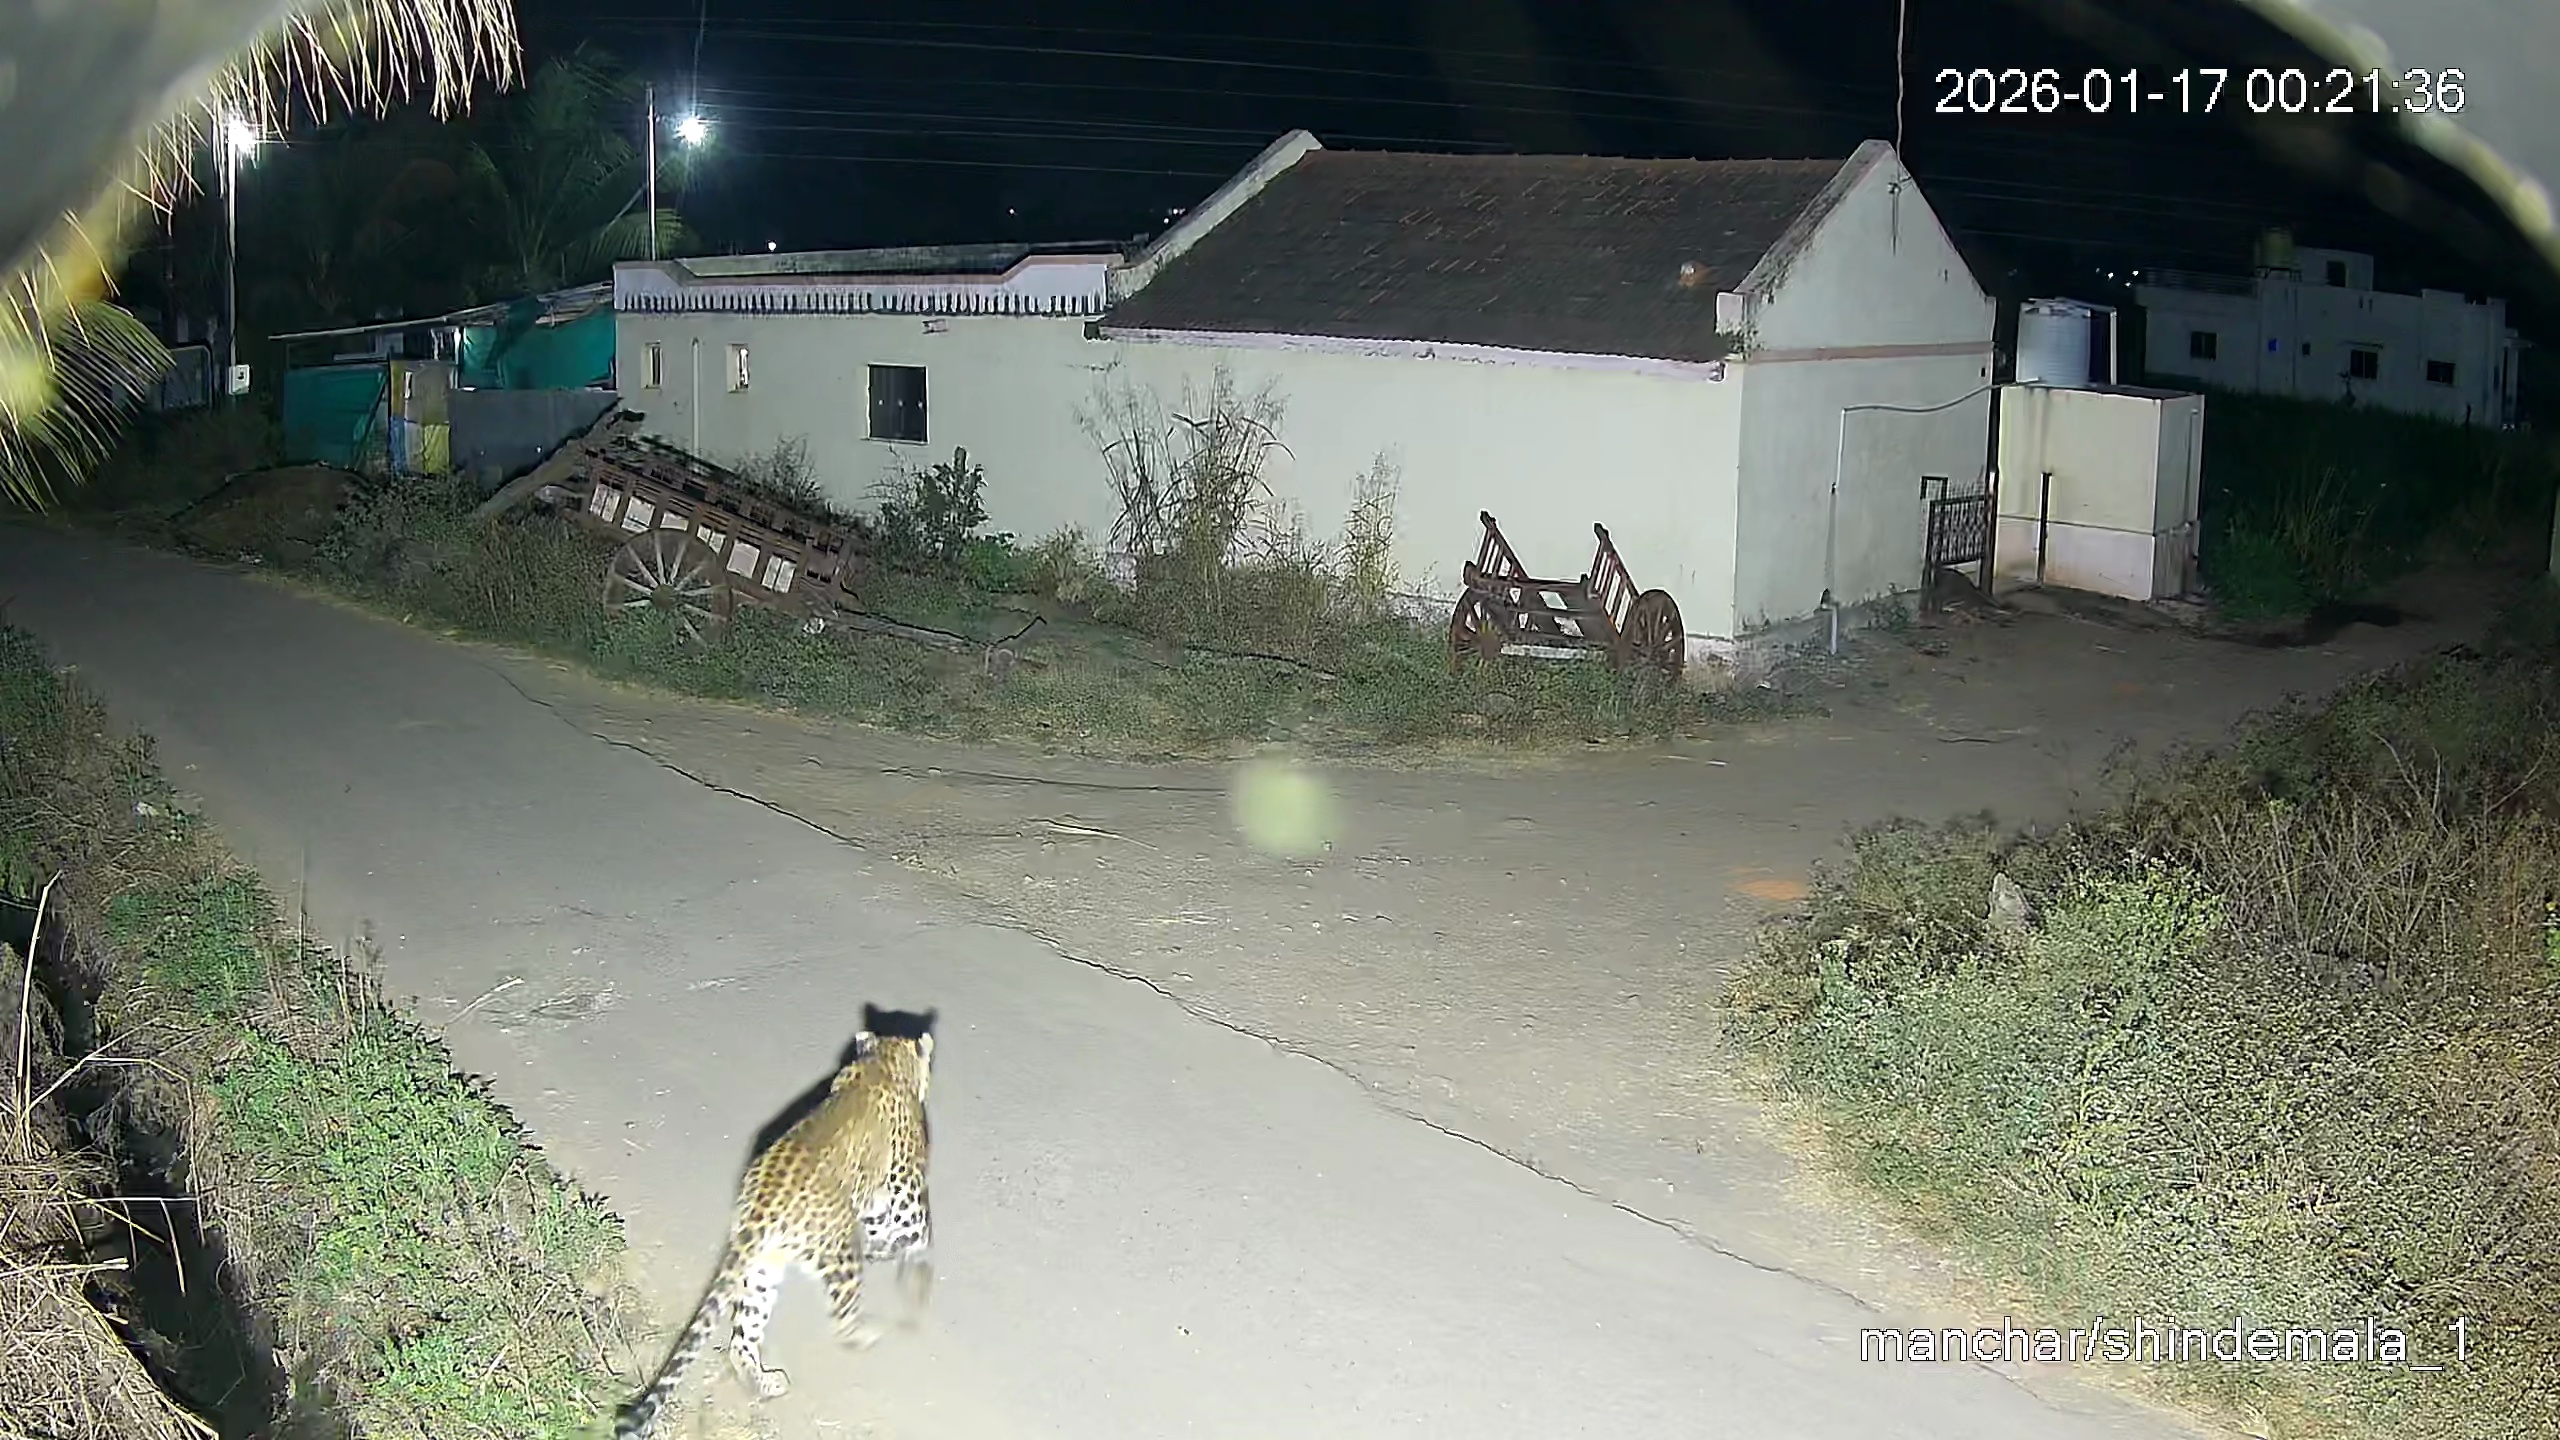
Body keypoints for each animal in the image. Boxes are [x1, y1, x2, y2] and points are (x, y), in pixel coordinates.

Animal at [615, 1009, 936, 1440]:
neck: (882, 1063)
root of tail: (761, 1206)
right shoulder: (905, 1194)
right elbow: (914, 1239)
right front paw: (916, 1280)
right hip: (837, 1254)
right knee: (842, 1322)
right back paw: (867, 1333)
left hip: (762, 1268)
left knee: (741, 1341)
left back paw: (765, 1383)